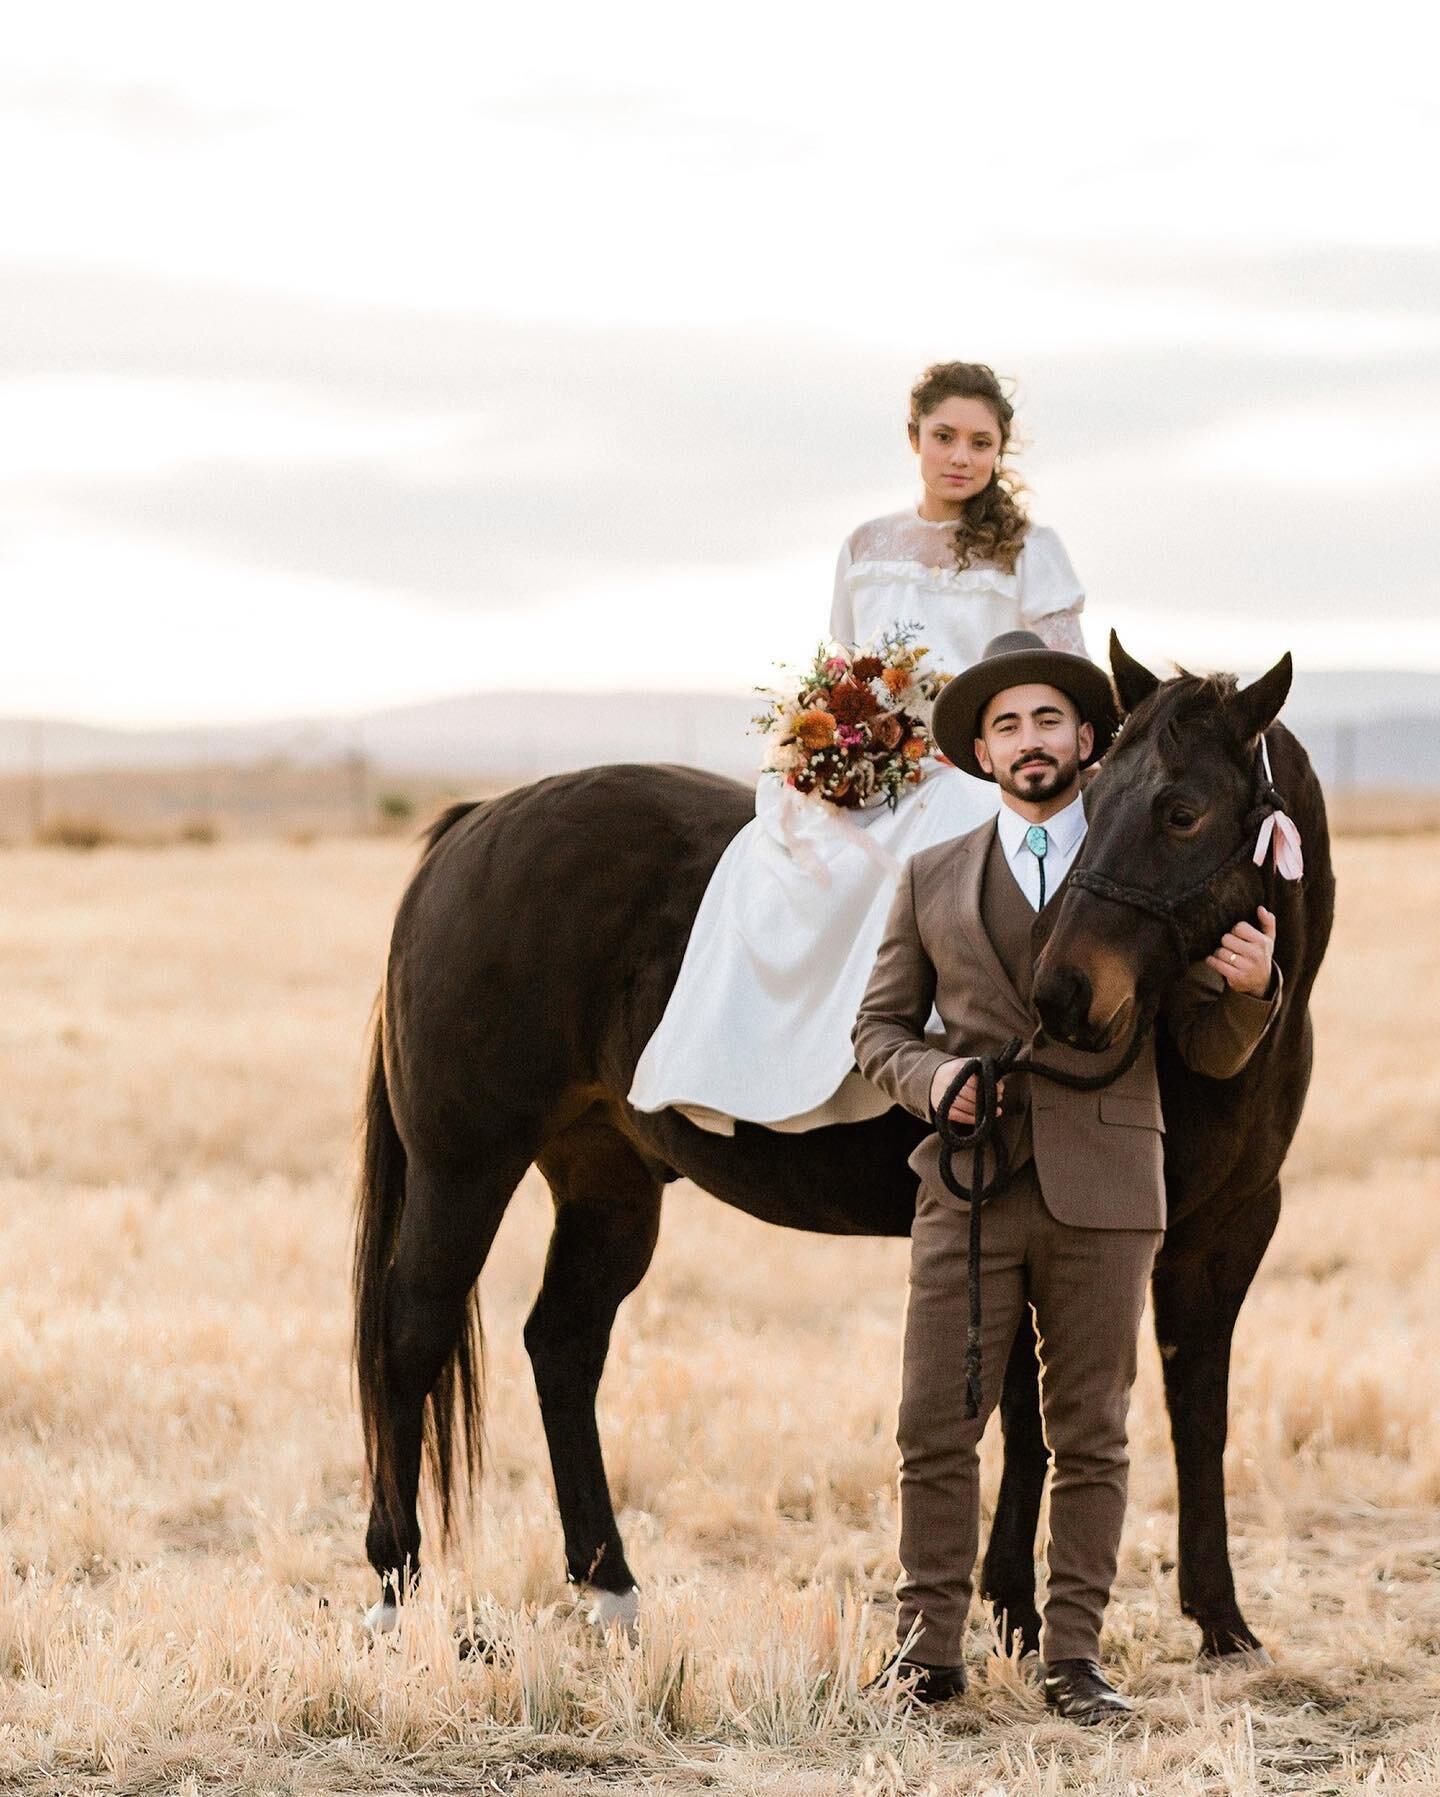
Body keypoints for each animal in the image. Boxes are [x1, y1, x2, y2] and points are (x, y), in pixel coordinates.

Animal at [354, 639, 1330, 1660]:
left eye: (1182, 812)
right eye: (1094, 803)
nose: (1060, 994)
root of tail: (475, 823)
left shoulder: (1222, 1234)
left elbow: (1198, 1414)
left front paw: (1221, 1621)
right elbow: (1031, 1418)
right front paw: (1016, 1613)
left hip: (607, 1185)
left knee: (563, 1343)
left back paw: (610, 1584)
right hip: (463, 1169)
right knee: (409, 1334)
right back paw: (395, 1589)